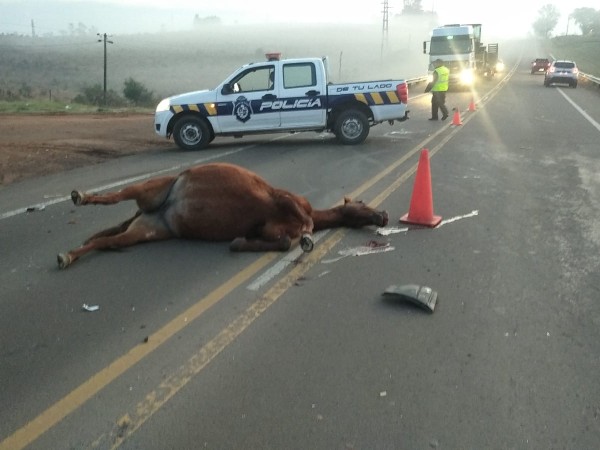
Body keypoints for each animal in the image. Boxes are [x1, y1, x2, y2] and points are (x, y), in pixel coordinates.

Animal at [56, 162, 390, 268]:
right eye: (362, 203)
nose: (384, 215)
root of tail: (158, 209)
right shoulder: (285, 200)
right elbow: (303, 225)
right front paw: (308, 238)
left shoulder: (269, 228)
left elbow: (282, 241)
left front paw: (238, 243)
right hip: (147, 189)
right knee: (114, 196)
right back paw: (80, 196)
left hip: (144, 231)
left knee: (106, 241)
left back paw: (68, 255)